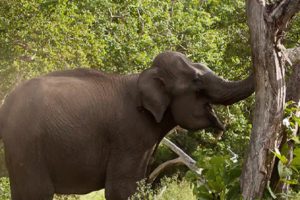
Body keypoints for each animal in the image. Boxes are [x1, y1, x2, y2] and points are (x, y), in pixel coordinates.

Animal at [0, 51, 254, 200]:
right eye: (197, 81)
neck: (143, 76)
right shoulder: (130, 133)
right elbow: (122, 188)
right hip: (26, 144)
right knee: (36, 192)